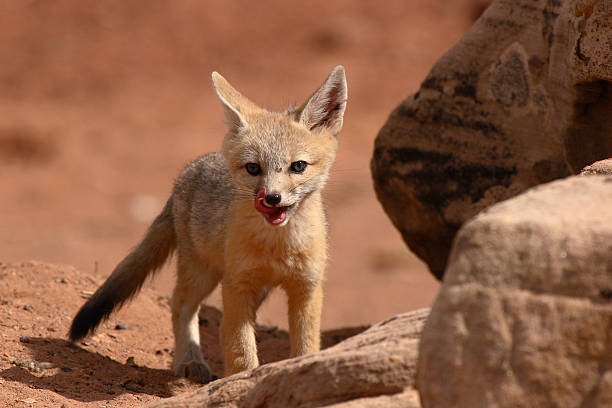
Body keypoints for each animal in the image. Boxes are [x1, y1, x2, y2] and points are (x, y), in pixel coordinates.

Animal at [68, 65, 346, 384]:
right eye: (253, 168)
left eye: (298, 166)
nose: (272, 198)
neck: (278, 246)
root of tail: (189, 170)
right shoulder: (237, 285)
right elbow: (240, 349)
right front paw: (242, 381)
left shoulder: (307, 287)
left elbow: (306, 345)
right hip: (203, 273)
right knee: (181, 305)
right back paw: (189, 360)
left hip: (249, 288)